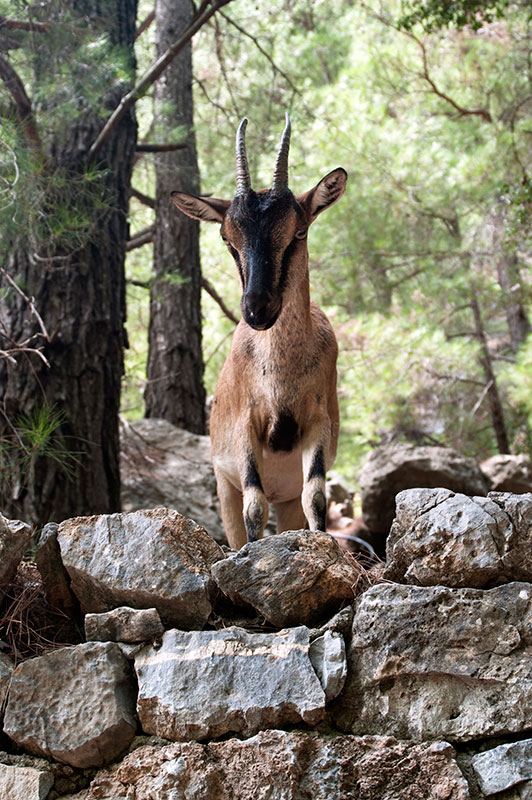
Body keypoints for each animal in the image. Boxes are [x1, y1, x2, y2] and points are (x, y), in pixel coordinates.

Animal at [172, 114, 348, 552]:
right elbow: (254, 504)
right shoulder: (244, 428)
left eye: (298, 232)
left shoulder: (317, 424)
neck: (281, 373)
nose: (258, 308)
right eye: (226, 237)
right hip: (223, 485)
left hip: (285, 498)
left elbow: (316, 497)